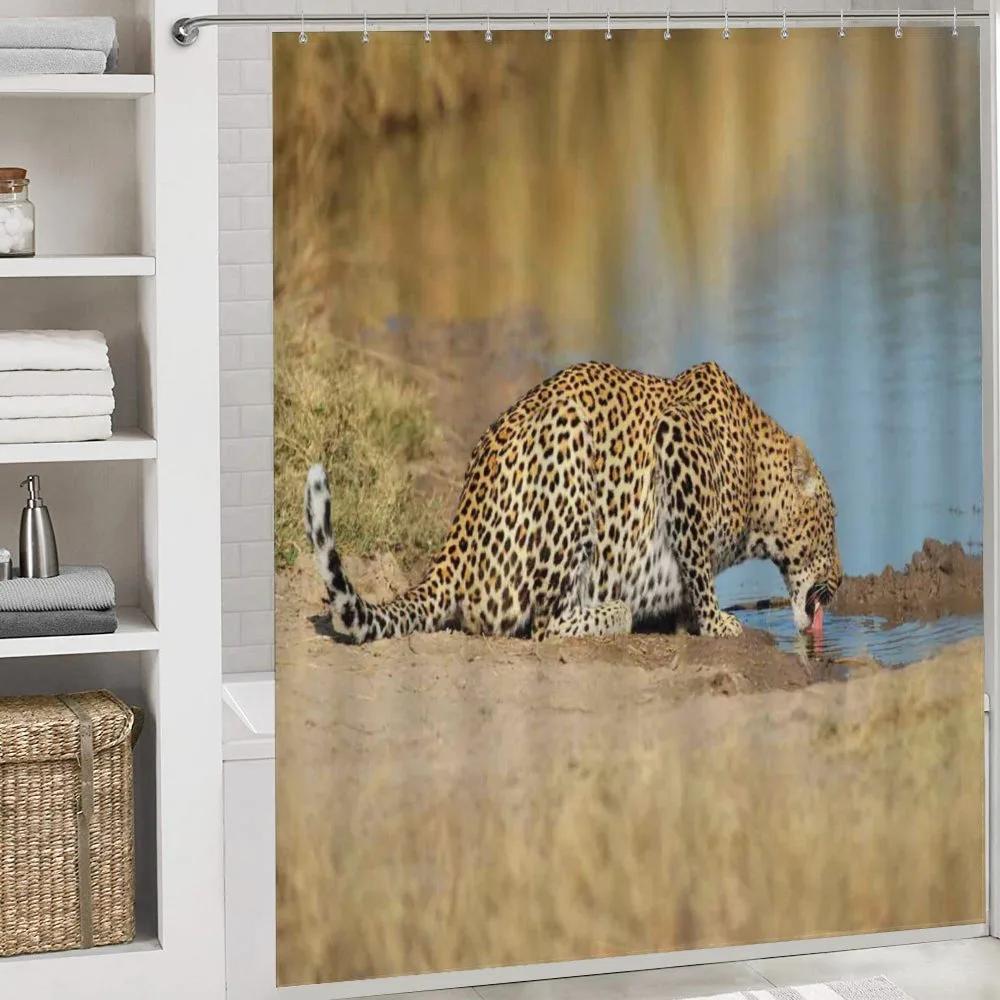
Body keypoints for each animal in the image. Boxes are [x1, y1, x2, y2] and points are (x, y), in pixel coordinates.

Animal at [303, 359, 843, 644]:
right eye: (832, 528)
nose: (840, 581)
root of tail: (454, 550)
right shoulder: (677, 441)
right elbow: (697, 562)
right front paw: (716, 622)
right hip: (569, 460)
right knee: (544, 625)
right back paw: (614, 612)